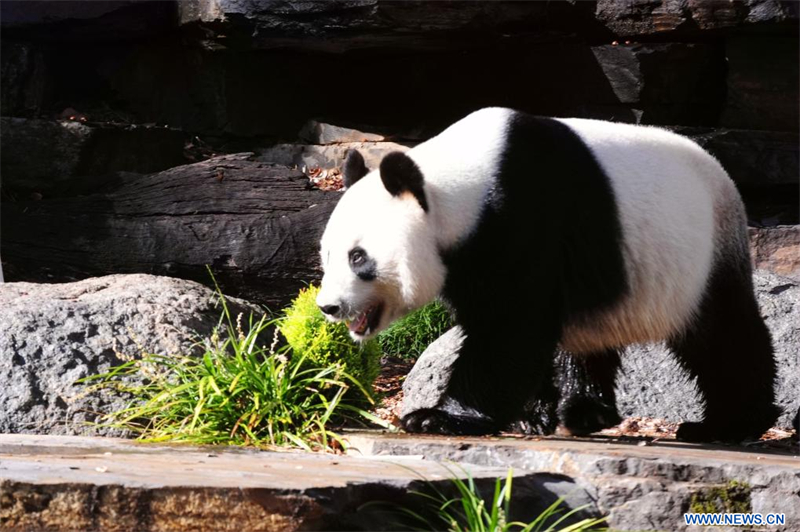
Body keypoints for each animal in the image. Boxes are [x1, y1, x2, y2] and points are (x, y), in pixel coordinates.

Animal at [316, 107, 779, 442]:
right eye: (327, 255)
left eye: (358, 257)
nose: (328, 307)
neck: (457, 185)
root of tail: (723, 175)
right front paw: (528, 418)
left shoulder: (525, 215)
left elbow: (511, 326)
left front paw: (436, 418)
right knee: (588, 334)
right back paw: (584, 411)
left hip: (701, 253)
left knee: (721, 334)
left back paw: (729, 424)